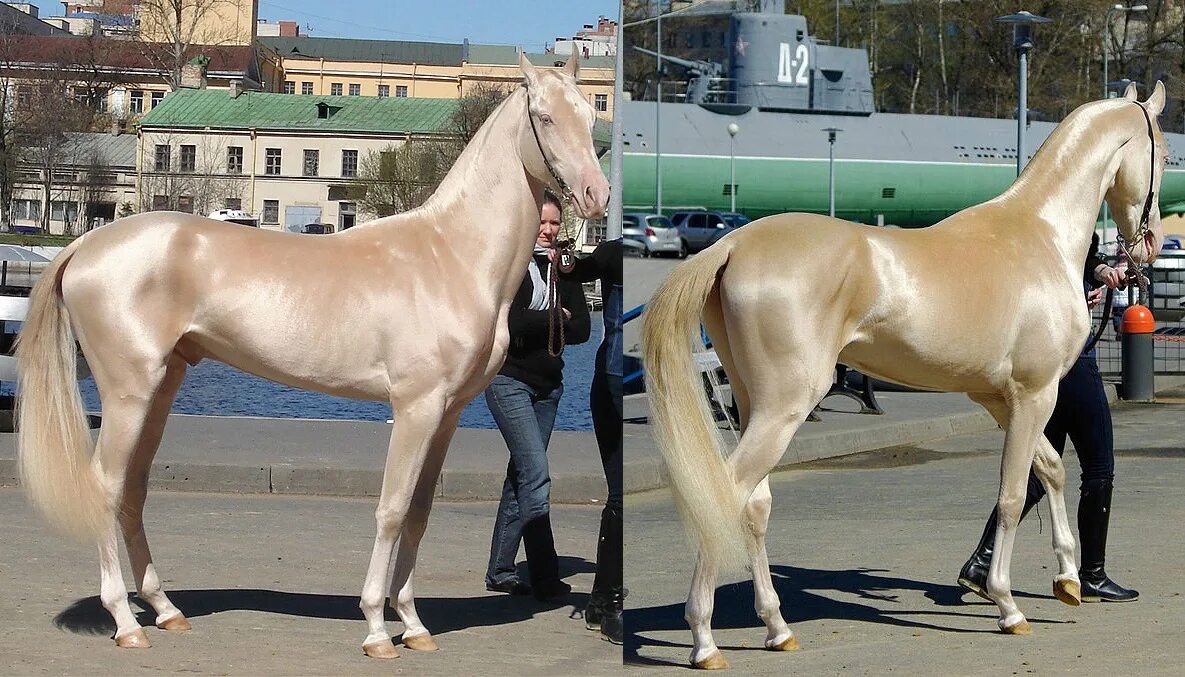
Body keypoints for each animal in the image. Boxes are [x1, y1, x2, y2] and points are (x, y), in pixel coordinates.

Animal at [13, 51, 611, 659]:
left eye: (589, 115)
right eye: (544, 117)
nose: (596, 195)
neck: (450, 255)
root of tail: (87, 244)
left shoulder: (447, 414)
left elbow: (419, 513)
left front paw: (414, 624)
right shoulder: (415, 407)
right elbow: (392, 510)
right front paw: (377, 629)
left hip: (160, 390)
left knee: (133, 489)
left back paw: (164, 610)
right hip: (128, 393)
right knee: (106, 488)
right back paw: (125, 621)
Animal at [639, 82, 1166, 668]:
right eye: (1164, 154)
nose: (1150, 244)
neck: (1039, 236)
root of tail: (732, 244)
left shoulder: (1000, 399)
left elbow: (1048, 471)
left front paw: (1069, 579)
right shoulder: (1034, 395)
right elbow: (1011, 494)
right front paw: (1008, 606)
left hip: (757, 406)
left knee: (754, 505)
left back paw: (777, 627)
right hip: (784, 409)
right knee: (724, 496)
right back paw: (704, 641)